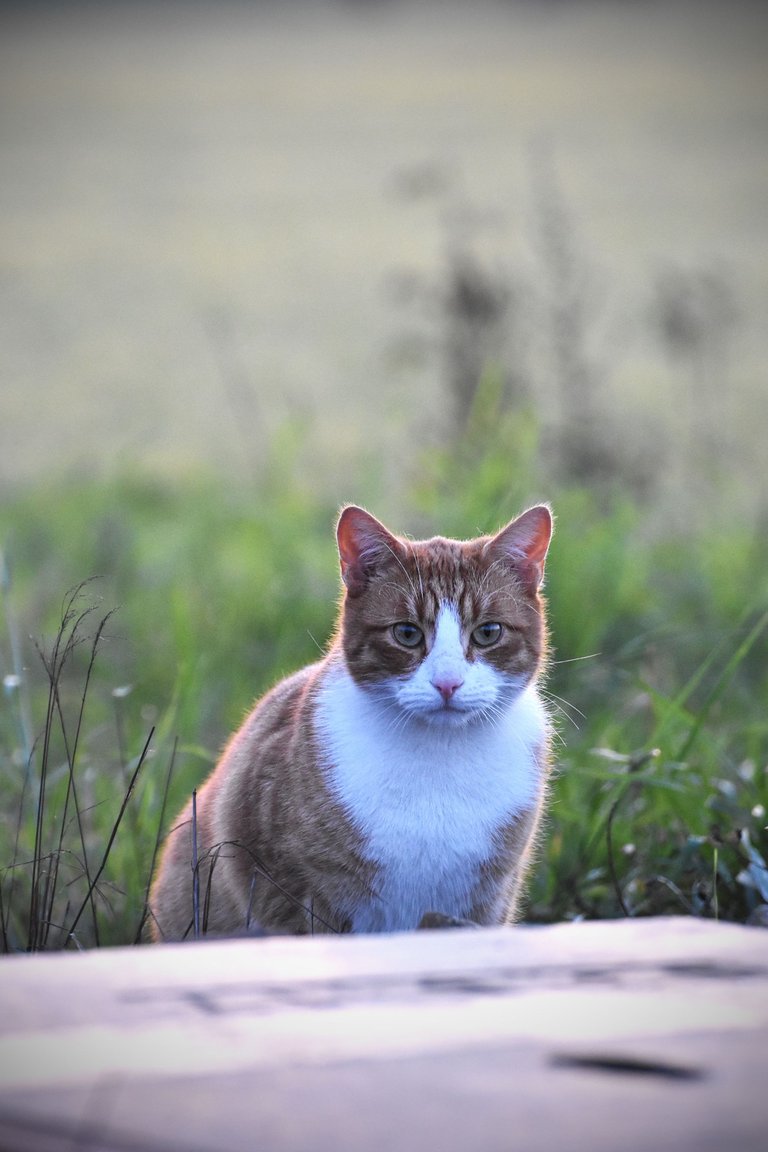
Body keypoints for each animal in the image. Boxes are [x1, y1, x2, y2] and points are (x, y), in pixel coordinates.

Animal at [148, 502, 552, 935]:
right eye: (406, 634)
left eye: (488, 632)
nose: (447, 683)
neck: (439, 757)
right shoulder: (291, 893)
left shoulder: (487, 902)